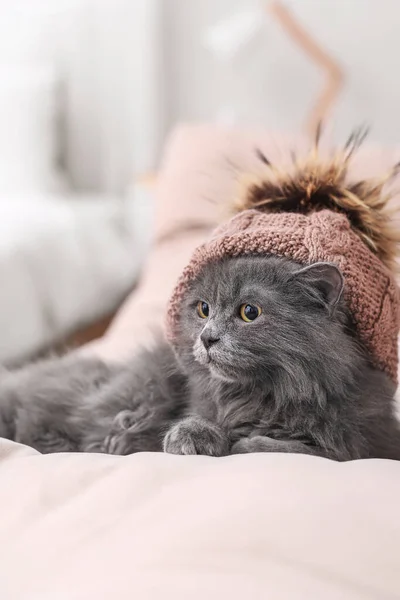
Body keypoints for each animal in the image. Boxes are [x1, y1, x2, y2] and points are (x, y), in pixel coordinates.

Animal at [0, 255, 400, 462]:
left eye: (249, 312)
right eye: (203, 309)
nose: (207, 338)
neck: (262, 397)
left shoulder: (364, 444)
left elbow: (303, 449)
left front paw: (243, 443)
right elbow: (197, 422)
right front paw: (196, 438)